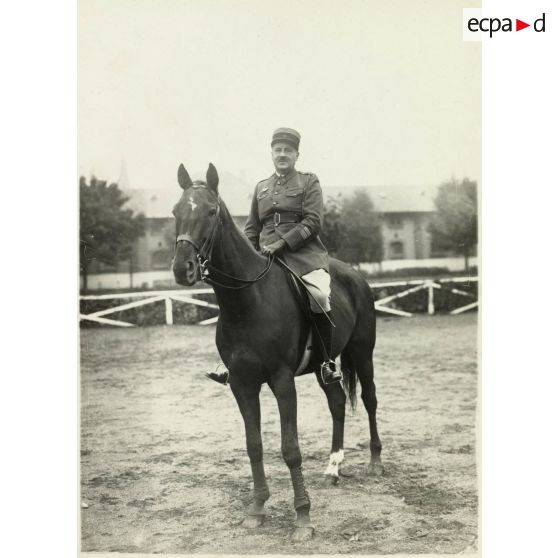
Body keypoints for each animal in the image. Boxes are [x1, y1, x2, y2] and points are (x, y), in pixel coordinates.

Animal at [172, 165, 380, 544]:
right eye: (175, 211)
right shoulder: (241, 384)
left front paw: (303, 518)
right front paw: (256, 509)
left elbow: (290, 448)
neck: (247, 301)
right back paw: (333, 467)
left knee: (370, 400)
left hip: (363, 353)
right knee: (337, 403)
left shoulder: (283, 382)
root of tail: (355, 275)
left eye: (210, 212)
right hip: (323, 367)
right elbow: (254, 444)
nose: (183, 269)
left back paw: (375, 463)